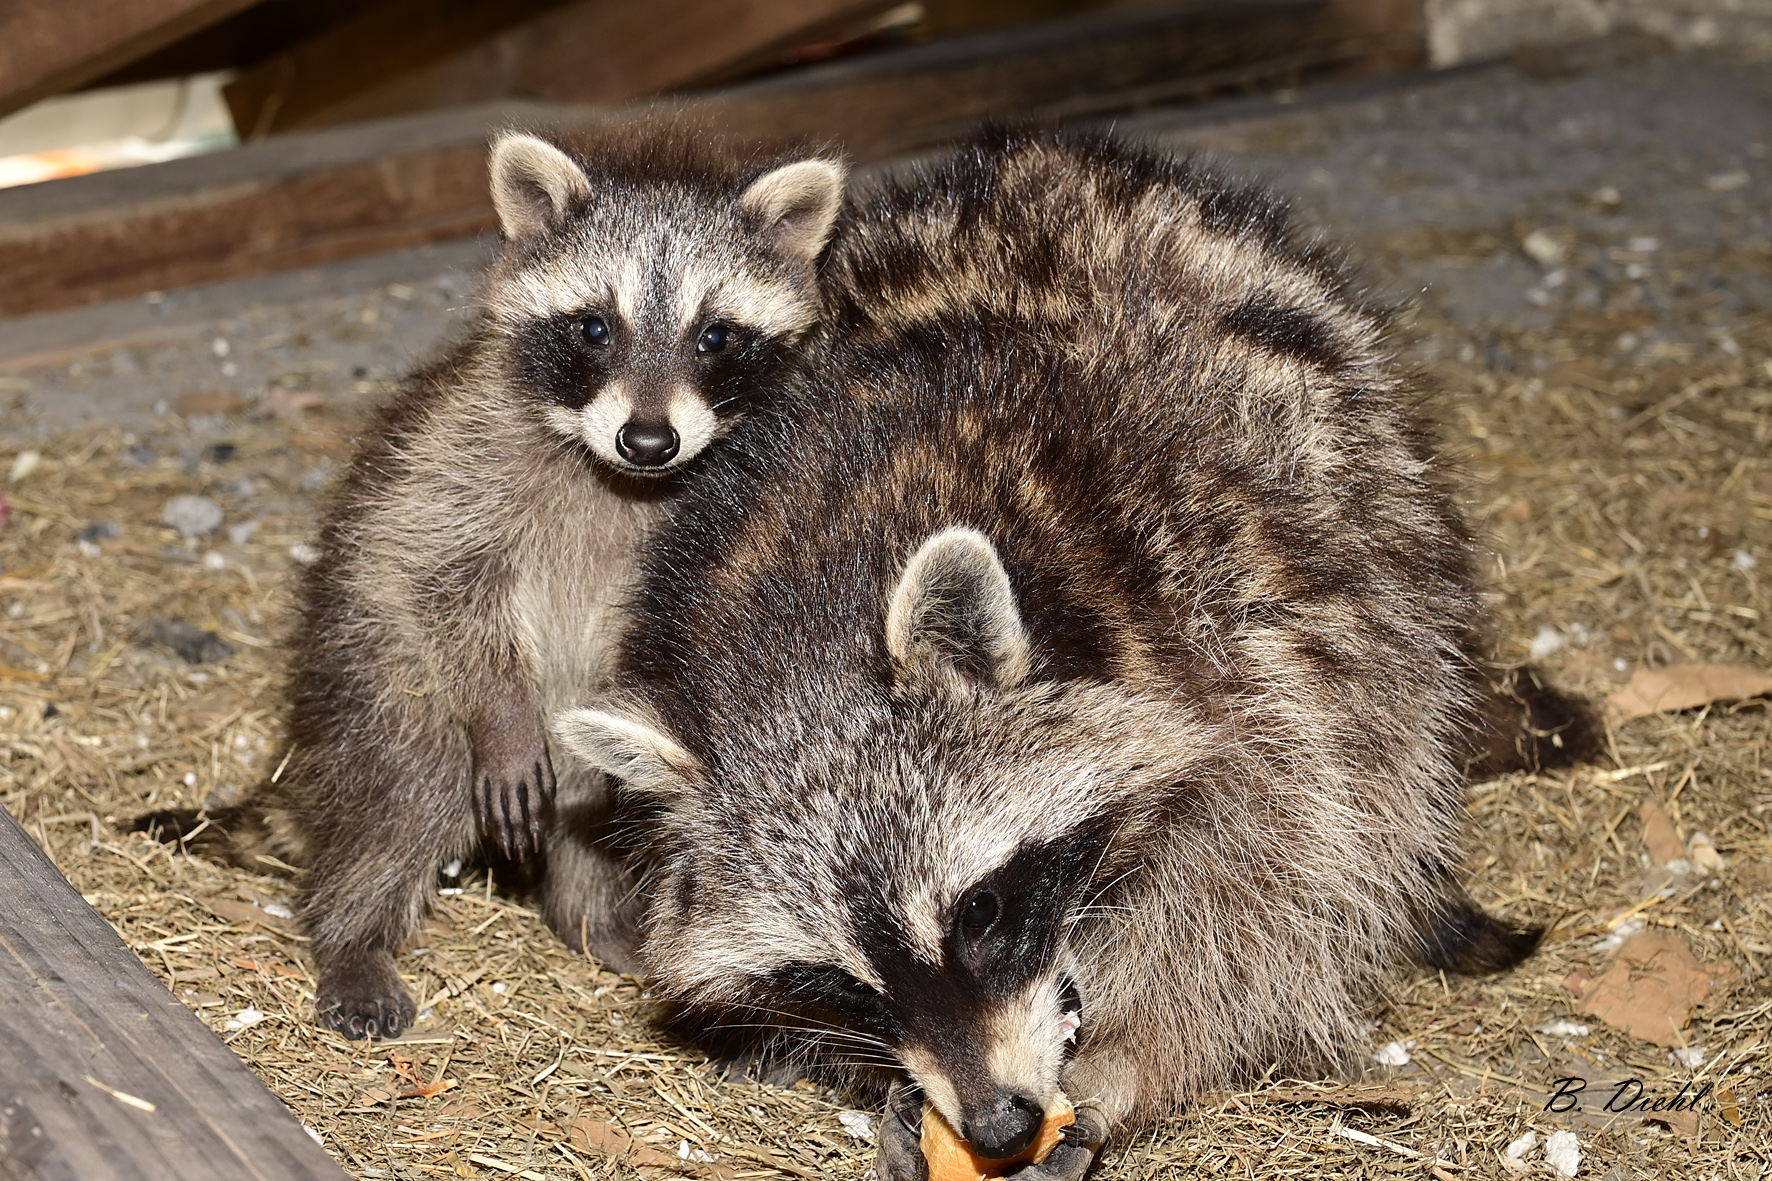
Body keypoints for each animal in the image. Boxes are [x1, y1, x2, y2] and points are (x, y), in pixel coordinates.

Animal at [138, 124, 843, 1035]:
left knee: (590, 809)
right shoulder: (455, 465)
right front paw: (503, 718)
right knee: (397, 802)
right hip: (379, 680)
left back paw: (589, 914)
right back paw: (352, 932)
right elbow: (446, 583)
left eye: (715, 336)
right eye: (593, 327)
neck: (623, 480)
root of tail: (306, 739)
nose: (649, 440)